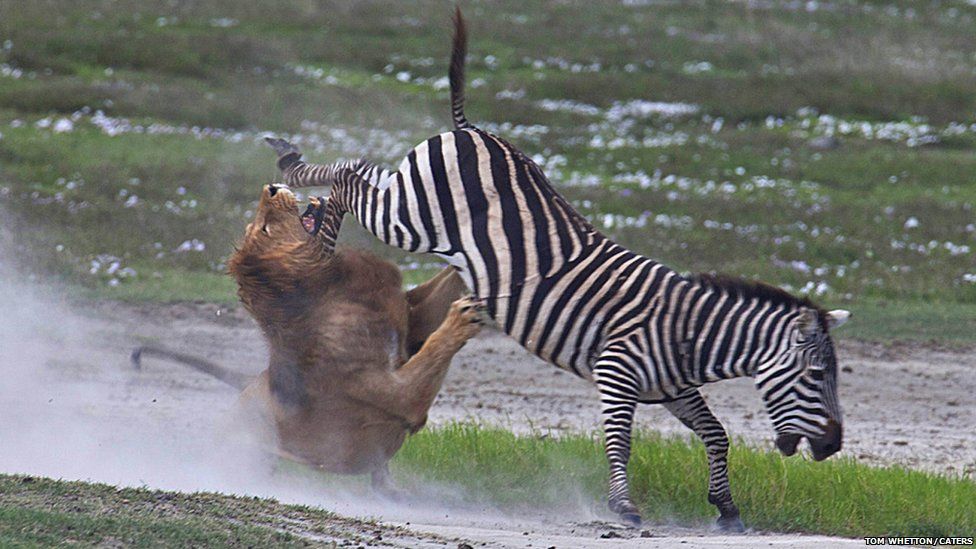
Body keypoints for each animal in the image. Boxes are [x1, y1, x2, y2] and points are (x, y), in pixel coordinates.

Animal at [132, 183, 482, 492]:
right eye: (264, 229)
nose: (271, 188)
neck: (331, 286)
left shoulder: (413, 319)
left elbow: (452, 273)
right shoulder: (397, 396)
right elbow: (433, 351)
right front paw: (463, 315)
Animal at [264, 9, 848, 532]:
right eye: (817, 376)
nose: (834, 445)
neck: (689, 333)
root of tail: (473, 130)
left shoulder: (675, 389)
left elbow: (716, 433)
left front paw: (726, 508)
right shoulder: (617, 370)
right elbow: (622, 439)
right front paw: (624, 508)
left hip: (410, 196)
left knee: (359, 172)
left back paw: (308, 204)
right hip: (411, 217)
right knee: (348, 178)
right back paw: (311, 215)